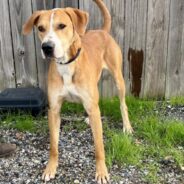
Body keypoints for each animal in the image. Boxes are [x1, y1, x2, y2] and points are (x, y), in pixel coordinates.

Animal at [23, 0, 133, 183]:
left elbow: (99, 147)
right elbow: (53, 146)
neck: (66, 65)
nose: (47, 47)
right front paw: (50, 168)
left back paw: (127, 127)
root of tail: (102, 31)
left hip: (119, 79)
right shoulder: (54, 110)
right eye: (40, 28)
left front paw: (101, 172)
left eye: (62, 26)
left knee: (122, 104)